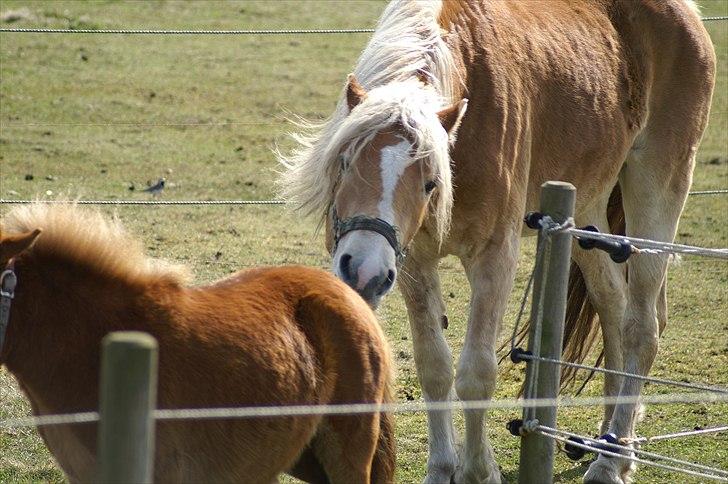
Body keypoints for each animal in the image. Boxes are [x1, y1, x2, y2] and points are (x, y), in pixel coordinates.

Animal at [280, 1, 716, 482]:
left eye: (430, 183)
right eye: (343, 162)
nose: (363, 269)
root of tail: (687, 15)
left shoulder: (495, 257)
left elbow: (476, 372)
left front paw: (477, 470)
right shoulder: (414, 263)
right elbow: (433, 366)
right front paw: (442, 467)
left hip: (658, 186)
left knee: (642, 326)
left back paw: (610, 459)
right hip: (586, 209)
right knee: (614, 308)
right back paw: (615, 445)